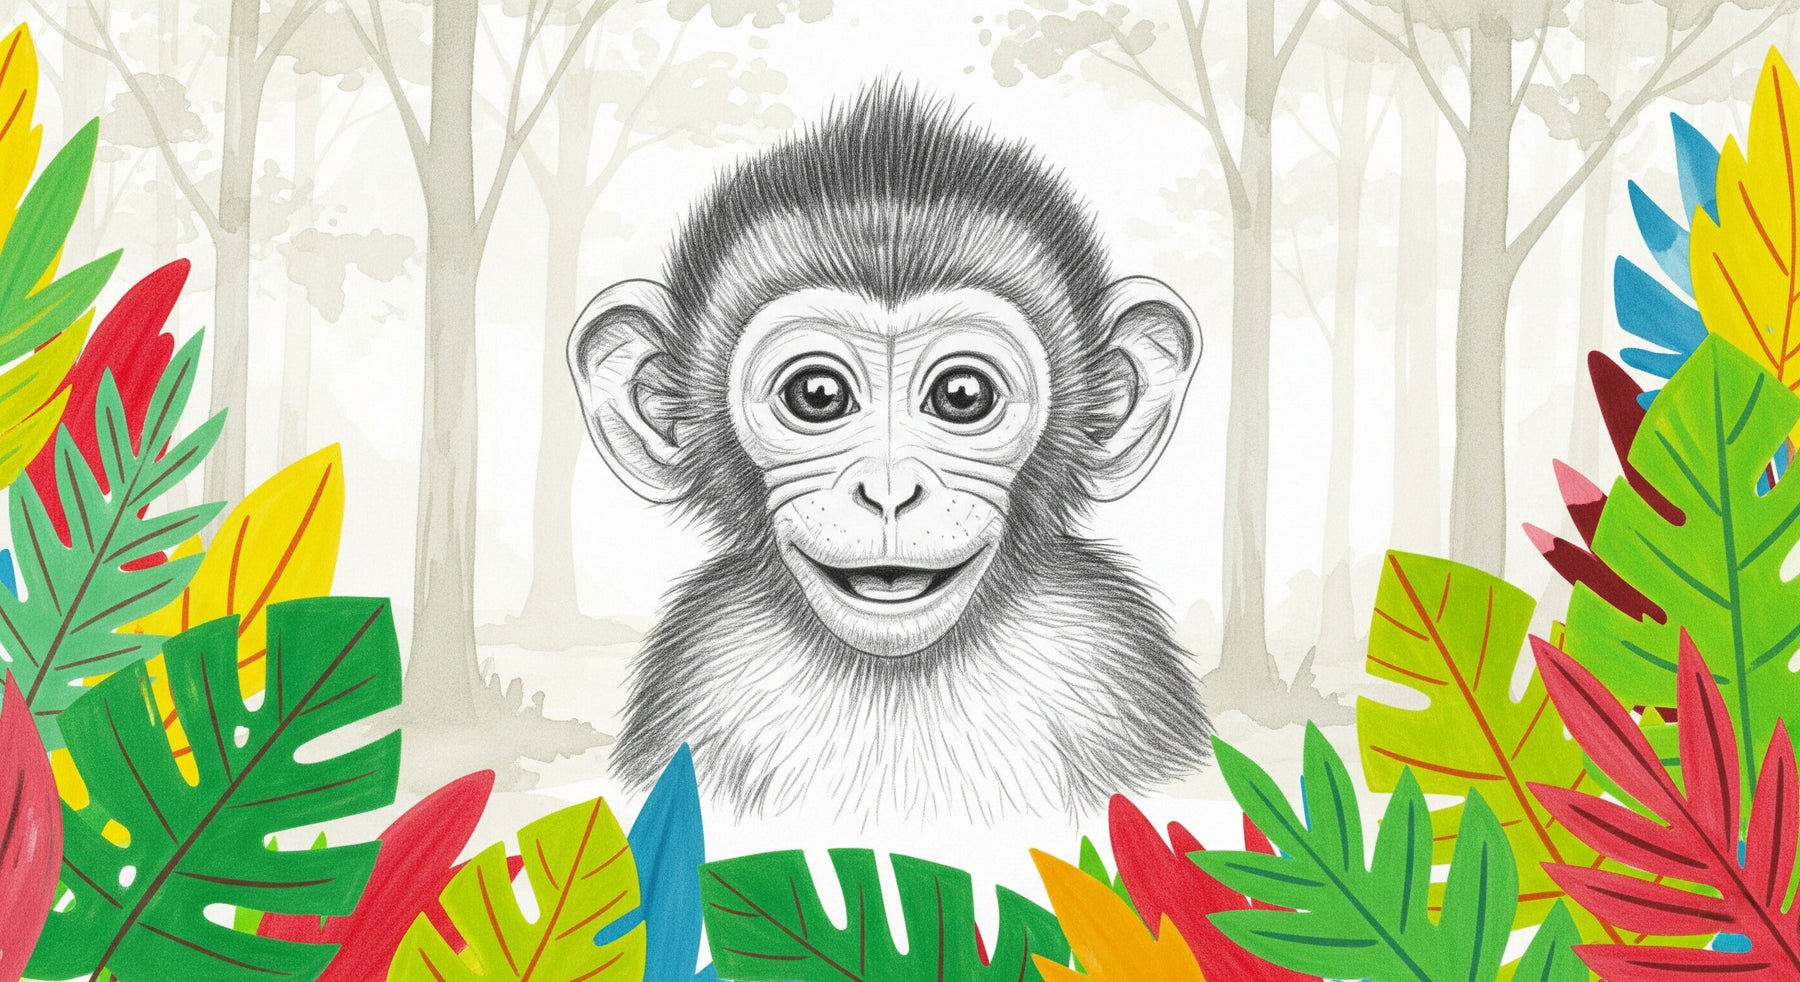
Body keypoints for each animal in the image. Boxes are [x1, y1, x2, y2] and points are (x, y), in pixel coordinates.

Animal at [568, 81, 1210, 825]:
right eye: (818, 395)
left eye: (962, 395)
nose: (889, 490)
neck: (895, 676)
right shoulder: (694, 676)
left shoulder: (1118, 659)